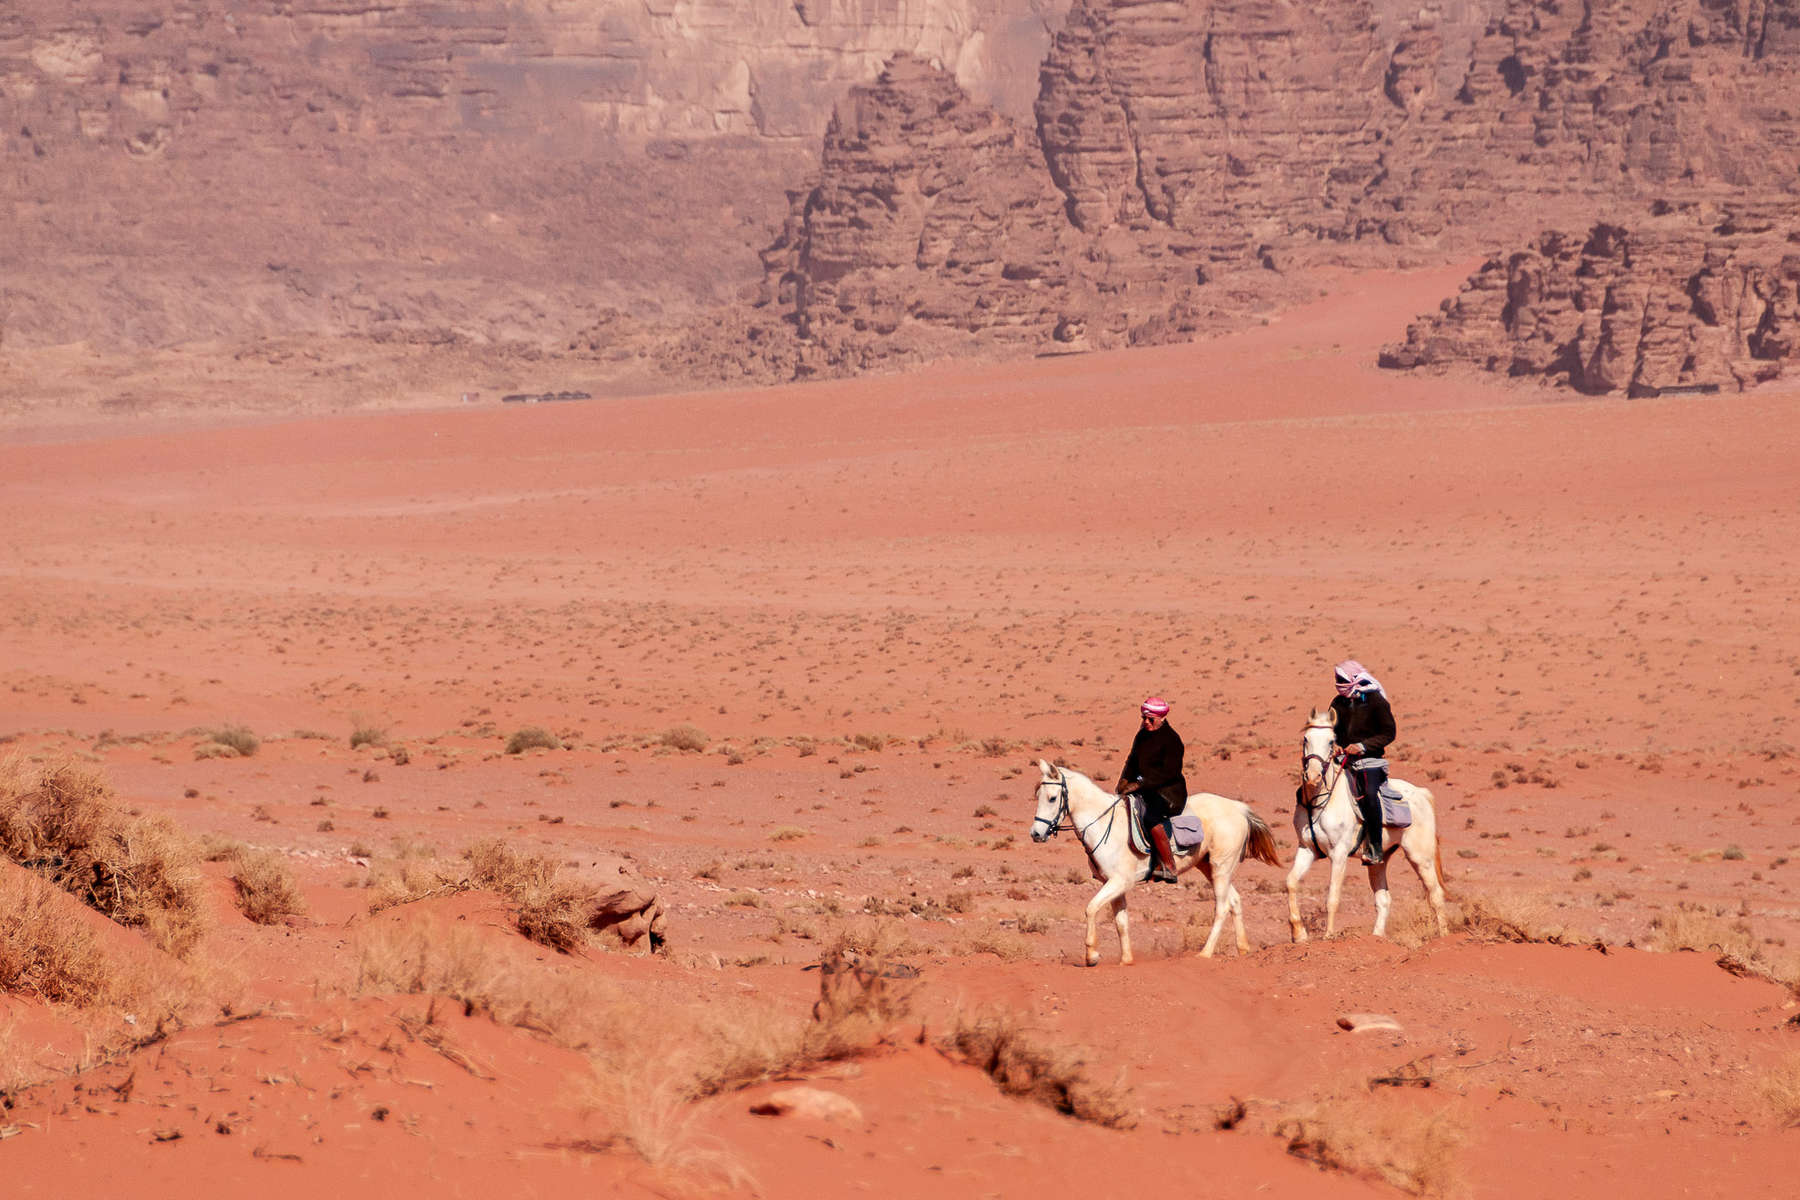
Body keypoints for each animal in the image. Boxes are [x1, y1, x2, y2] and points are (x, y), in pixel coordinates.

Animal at [1036, 766, 1288, 971]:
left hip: (1221, 868)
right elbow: (1121, 922)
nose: (1036, 834)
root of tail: (1238, 808)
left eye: (1052, 798)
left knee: (1222, 907)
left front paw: (1092, 956)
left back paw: (1205, 953)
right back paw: (1243, 949)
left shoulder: (1119, 882)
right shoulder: (1114, 885)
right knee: (1234, 901)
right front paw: (1126, 960)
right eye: (1037, 796)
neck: (1104, 824)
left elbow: (1090, 909)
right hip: (1210, 868)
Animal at [1288, 708, 1454, 942]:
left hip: (1421, 857)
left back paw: (1444, 935)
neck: (1319, 802)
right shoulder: (1307, 849)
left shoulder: (1338, 854)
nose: (1313, 775)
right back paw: (1377, 937)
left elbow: (1333, 896)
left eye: (1331, 741)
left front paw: (1329, 935)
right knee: (1384, 899)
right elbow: (1291, 883)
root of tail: (1421, 793)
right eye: (1305, 739)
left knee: (1436, 894)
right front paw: (1299, 933)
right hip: (1379, 861)